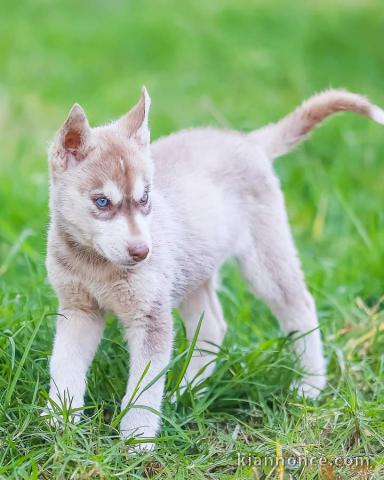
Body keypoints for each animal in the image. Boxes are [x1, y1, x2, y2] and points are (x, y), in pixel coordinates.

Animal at [45, 86, 384, 446]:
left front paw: (137, 439)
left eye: (145, 198)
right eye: (102, 202)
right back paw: (190, 391)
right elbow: (64, 363)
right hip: (193, 272)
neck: (95, 263)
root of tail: (247, 140)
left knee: (299, 307)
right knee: (212, 327)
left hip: (263, 263)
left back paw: (309, 385)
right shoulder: (78, 309)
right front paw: (59, 421)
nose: (143, 252)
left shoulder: (151, 316)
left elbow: (144, 387)